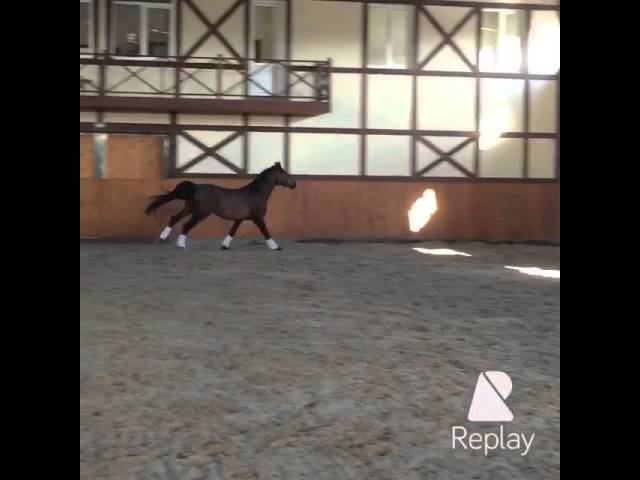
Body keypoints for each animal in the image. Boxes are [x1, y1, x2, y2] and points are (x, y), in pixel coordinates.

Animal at [144, 162, 296, 250]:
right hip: (201, 213)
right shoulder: (258, 218)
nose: (294, 184)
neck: (256, 193)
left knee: (174, 218)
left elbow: (232, 231)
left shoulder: (239, 219)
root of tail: (195, 187)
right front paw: (276, 247)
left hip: (189, 208)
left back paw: (163, 237)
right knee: (186, 225)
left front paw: (224, 245)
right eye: (285, 174)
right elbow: (265, 231)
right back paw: (181, 244)